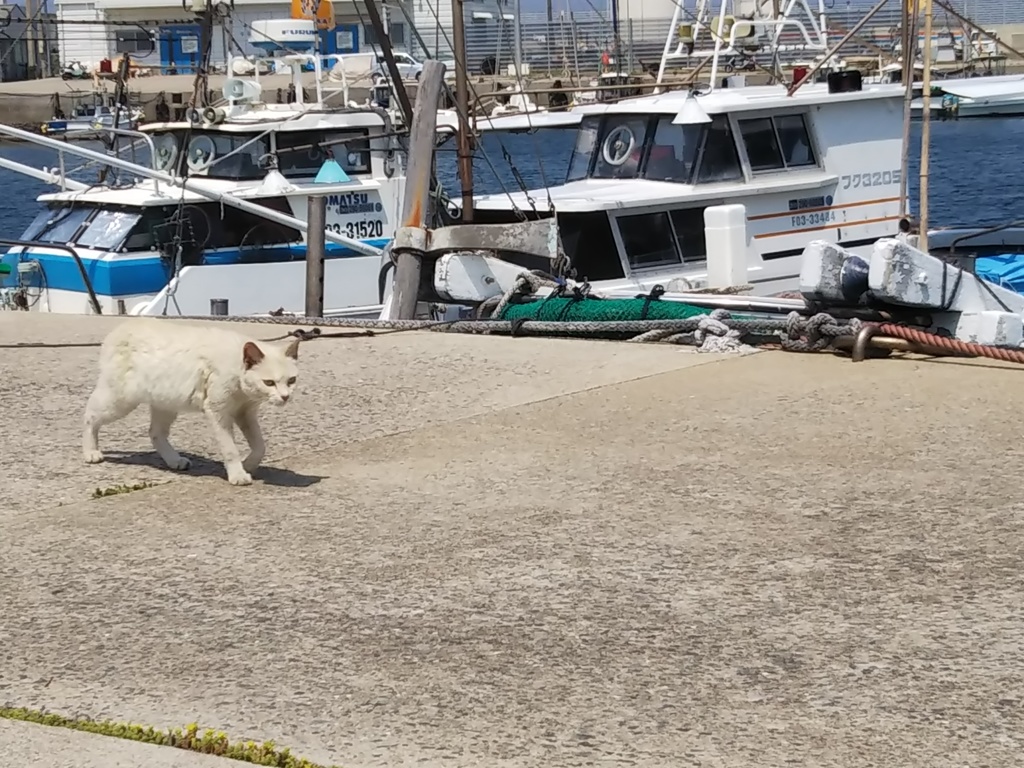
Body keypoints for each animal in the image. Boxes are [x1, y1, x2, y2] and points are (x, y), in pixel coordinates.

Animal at [83, 319, 299, 487]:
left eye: (291, 380)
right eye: (269, 383)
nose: (285, 396)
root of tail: (121, 327)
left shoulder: (245, 413)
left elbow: (260, 446)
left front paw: (248, 465)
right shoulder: (218, 412)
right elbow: (230, 448)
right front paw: (237, 474)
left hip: (166, 403)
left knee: (155, 433)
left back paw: (174, 460)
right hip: (119, 401)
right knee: (89, 417)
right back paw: (91, 452)